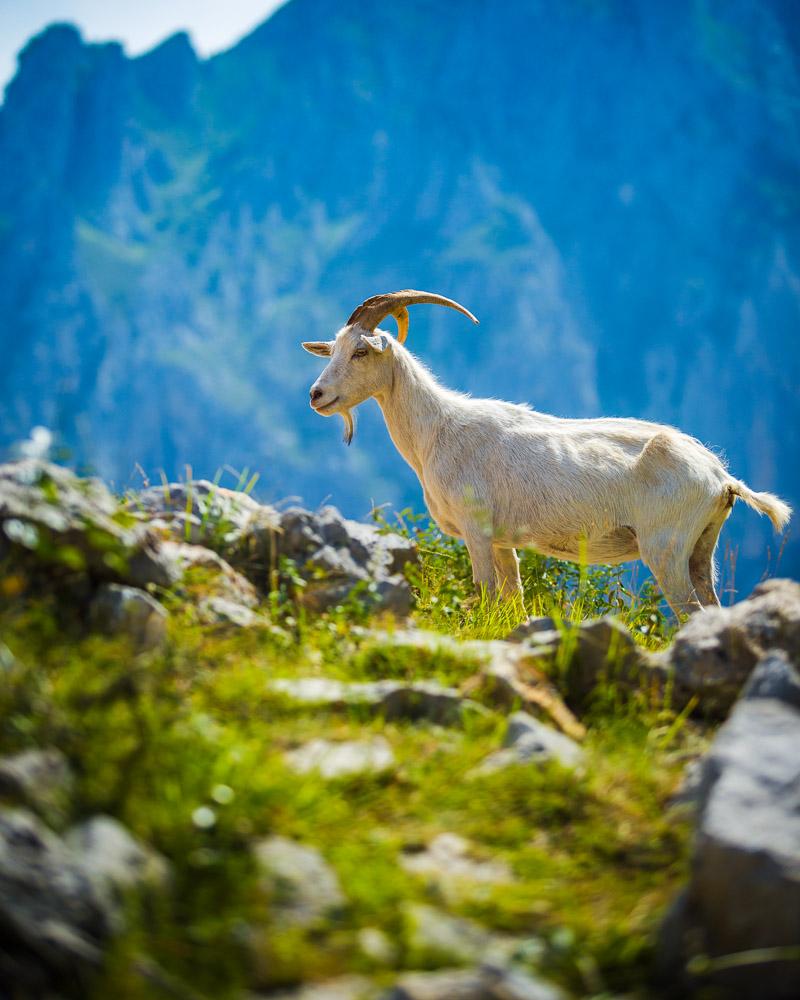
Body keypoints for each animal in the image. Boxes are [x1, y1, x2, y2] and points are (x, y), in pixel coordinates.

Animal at [302, 292, 792, 616]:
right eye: (333, 349)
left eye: (361, 351)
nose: (316, 395)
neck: (438, 431)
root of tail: (722, 478)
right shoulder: (503, 540)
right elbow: (512, 599)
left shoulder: (476, 529)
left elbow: (484, 591)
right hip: (700, 550)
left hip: (665, 548)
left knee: (690, 611)